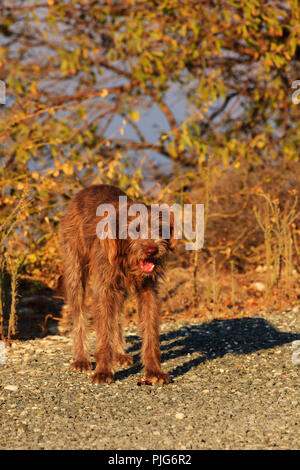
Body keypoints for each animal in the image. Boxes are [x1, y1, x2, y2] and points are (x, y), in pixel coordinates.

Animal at [59, 183, 176, 382]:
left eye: (160, 228)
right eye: (136, 229)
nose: (152, 250)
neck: (127, 260)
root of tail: (89, 188)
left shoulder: (148, 292)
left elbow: (150, 333)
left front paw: (154, 371)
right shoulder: (104, 289)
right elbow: (104, 331)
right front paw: (103, 371)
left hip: (119, 291)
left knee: (116, 317)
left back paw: (120, 353)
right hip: (75, 271)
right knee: (79, 313)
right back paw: (81, 358)